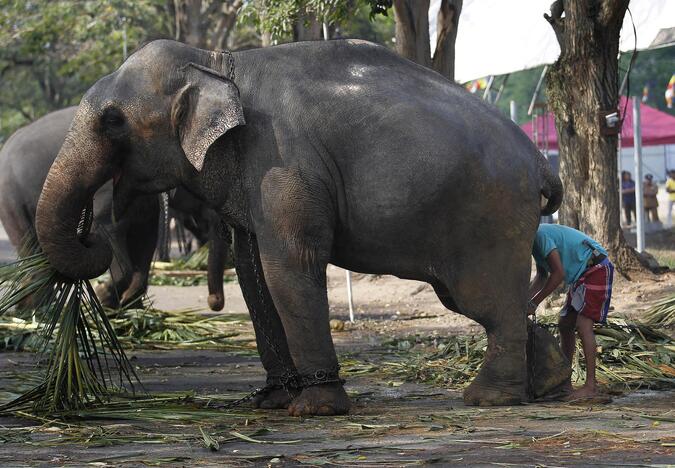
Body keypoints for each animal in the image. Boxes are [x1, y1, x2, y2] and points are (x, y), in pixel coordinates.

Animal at [0, 106, 230, 310]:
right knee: (29, 244)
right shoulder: (108, 187)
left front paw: (130, 305)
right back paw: (35, 309)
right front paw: (106, 297)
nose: (213, 301)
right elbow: (109, 230)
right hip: (11, 200)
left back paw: (28, 306)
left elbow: (145, 236)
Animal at [33, 38, 564, 414]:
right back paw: (549, 385)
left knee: (486, 302)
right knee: (497, 303)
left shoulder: (282, 157)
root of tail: (541, 161)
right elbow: (253, 272)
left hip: (488, 216)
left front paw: (314, 409)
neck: (219, 62)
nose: (89, 228)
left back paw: (489, 398)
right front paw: (273, 400)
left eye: (113, 121)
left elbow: (288, 264)